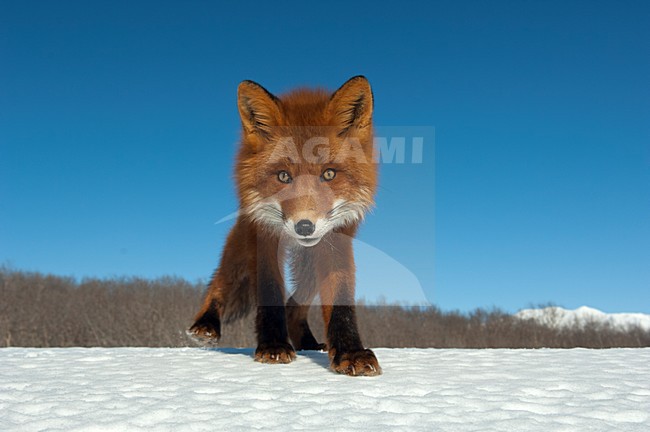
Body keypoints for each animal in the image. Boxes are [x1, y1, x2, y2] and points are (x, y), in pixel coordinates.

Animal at [188, 76, 381, 376]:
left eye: (329, 174)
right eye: (283, 176)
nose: (304, 227)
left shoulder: (337, 237)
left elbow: (340, 296)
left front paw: (350, 352)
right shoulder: (263, 237)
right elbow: (269, 290)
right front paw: (273, 345)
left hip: (309, 266)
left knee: (294, 307)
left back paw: (306, 341)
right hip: (241, 248)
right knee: (220, 281)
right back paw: (205, 324)